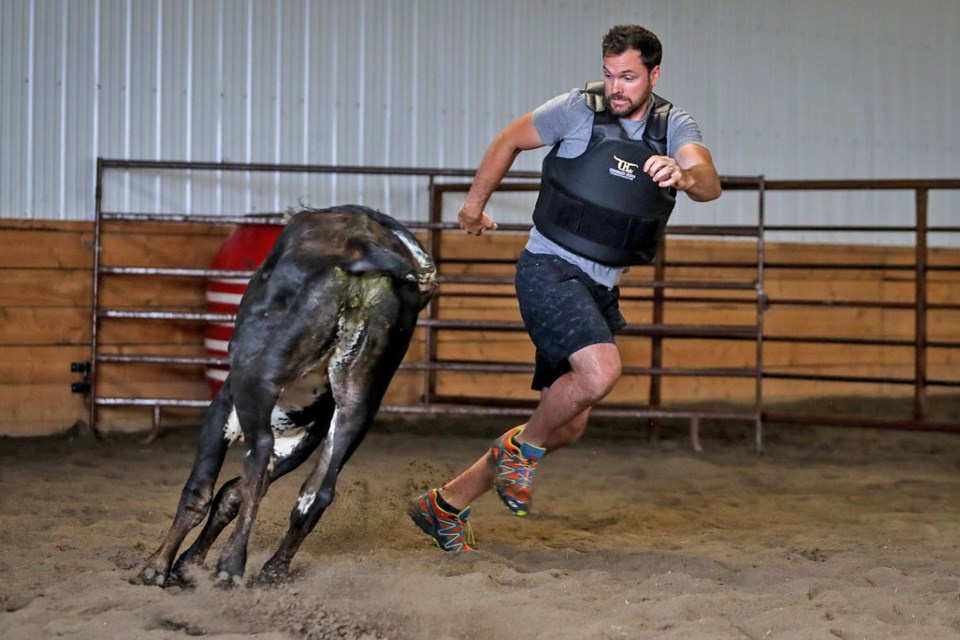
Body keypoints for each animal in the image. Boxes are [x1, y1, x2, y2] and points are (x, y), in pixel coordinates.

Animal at [135, 205, 436, 584]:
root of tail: (364, 245)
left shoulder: (223, 408)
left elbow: (201, 493)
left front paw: (158, 566)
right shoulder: (297, 440)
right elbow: (234, 494)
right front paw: (187, 563)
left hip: (255, 381)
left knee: (259, 453)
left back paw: (231, 564)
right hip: (359, 399)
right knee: (316, 493)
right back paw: (273, 570)